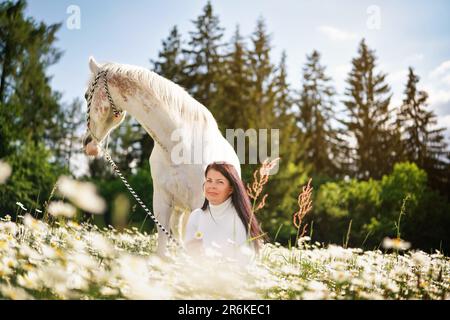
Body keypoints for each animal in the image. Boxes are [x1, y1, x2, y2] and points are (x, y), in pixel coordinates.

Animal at [82, 57, 241, 258]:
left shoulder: (200, 203)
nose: (88, 144)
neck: (179, 146)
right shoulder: (161, 200)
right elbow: (163, 242)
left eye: (86, 95)